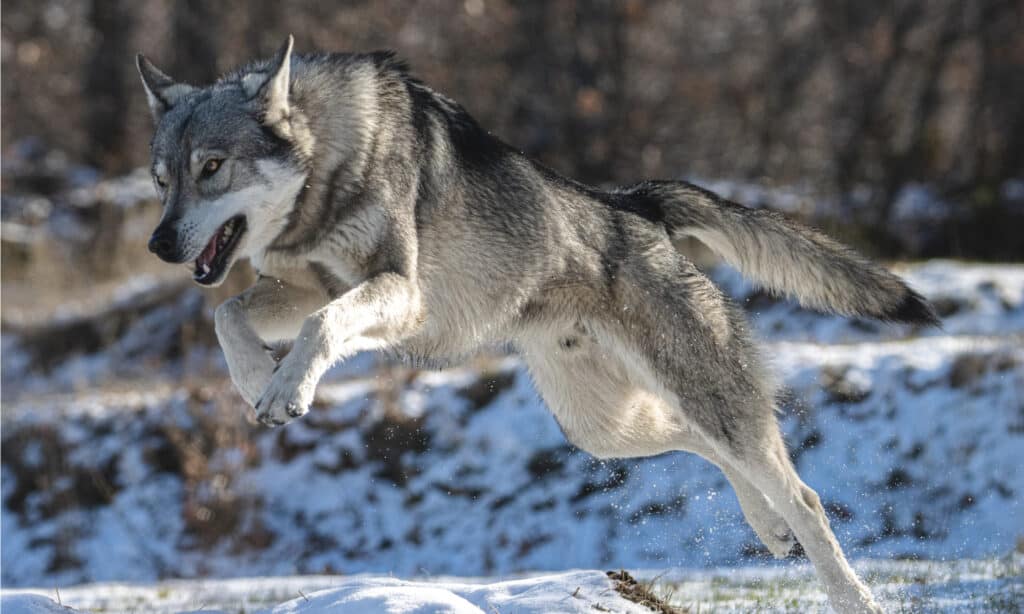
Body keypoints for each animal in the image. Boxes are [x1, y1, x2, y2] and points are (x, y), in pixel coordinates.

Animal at [138, 36, 937, 609]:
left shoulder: (396, 291)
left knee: (804, 494)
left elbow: (320, 328)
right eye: (162, 179)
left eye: (213, 167)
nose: (159, 244)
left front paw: (287, 389)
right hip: (603, 430)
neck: (332, 163)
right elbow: (227, 314)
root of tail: (636, 204)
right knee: (708, 448)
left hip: (687, 401)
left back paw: (849, 593)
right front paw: (257, 382)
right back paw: (767, 527)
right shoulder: (307, 285)